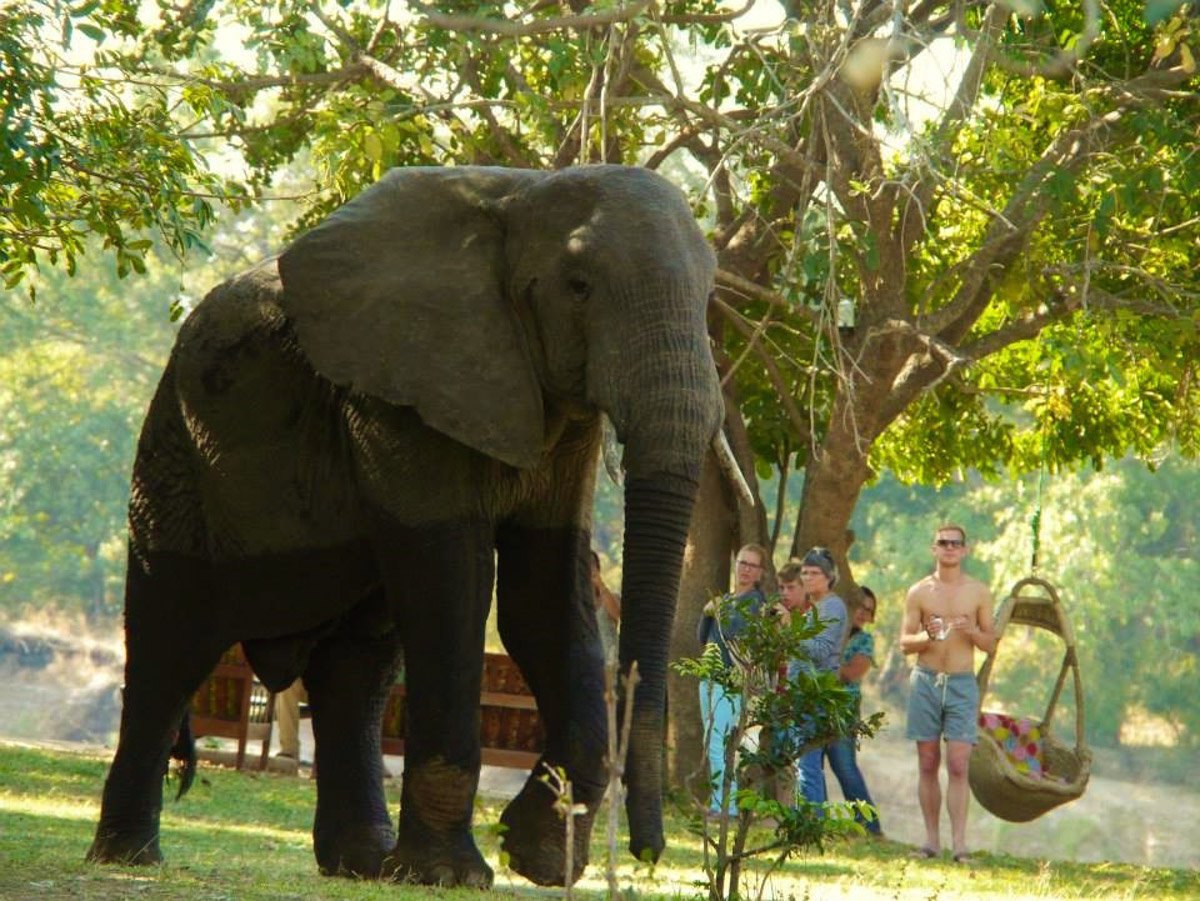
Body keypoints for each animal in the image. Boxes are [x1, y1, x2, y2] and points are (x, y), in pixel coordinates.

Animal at [86, 164, 738, 887]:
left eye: (709, 294)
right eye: (579, 286)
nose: (650, 853)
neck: (522, 194)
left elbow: (544, 594)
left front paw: (533, 856)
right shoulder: (399, 396)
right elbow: (451, 587)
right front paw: (455, 876)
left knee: (357, 669)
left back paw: (363, 864)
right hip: (174, 455)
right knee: (170, 645)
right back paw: (129, 856)